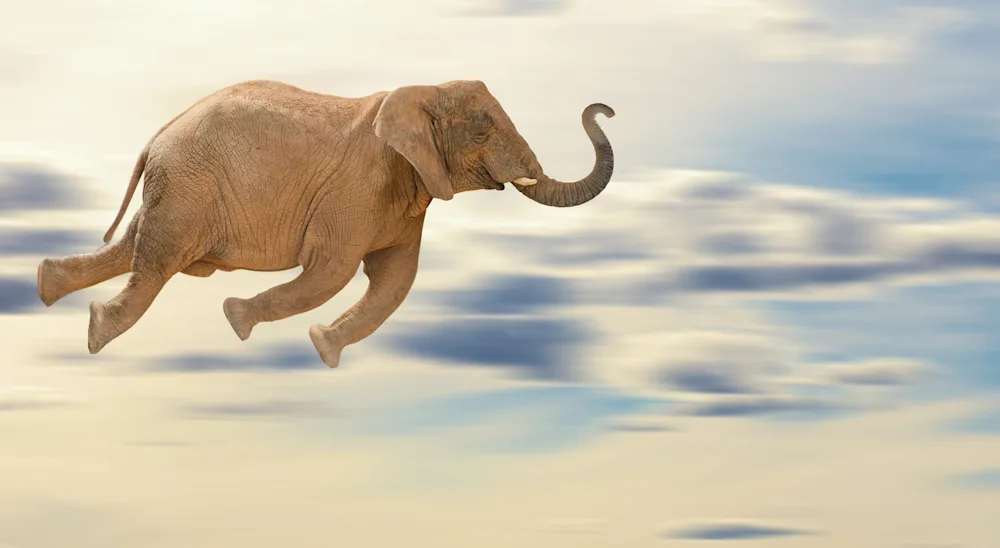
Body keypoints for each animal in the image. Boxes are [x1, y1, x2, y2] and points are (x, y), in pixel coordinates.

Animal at [35, 79, 615, 368]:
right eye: (481, 133)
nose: (603, 109)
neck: (417, 92)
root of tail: (158, 135)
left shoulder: (406, 196)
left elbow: (395, 282)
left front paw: (321, 348)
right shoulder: (358, 188)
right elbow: (333, 270)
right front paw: (237, 319)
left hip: (179, 187)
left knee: (136, 248)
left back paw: (47, 286)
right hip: (187, 185)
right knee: (156, 260)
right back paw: (95, 334)